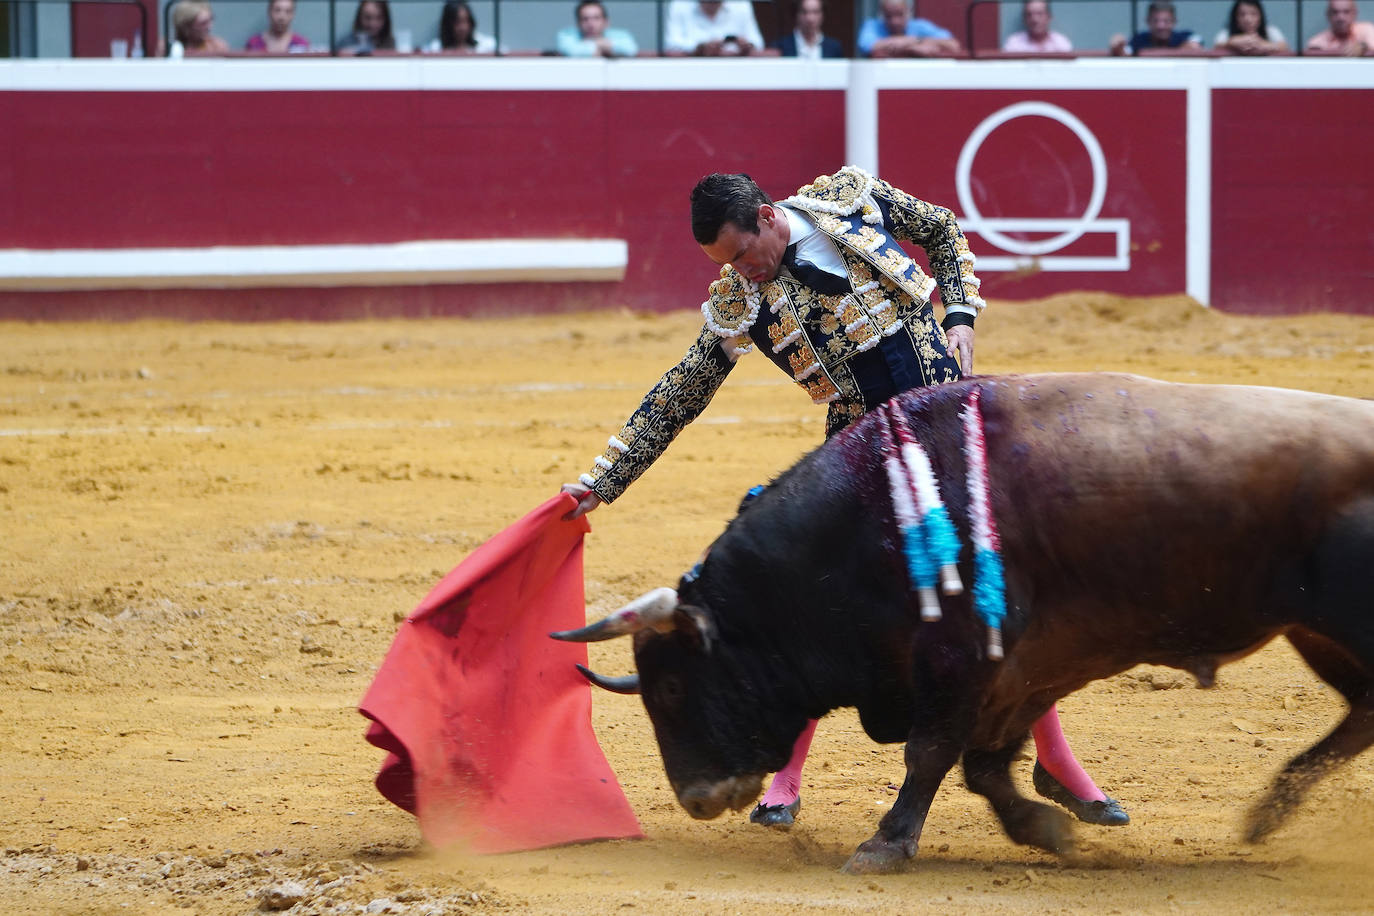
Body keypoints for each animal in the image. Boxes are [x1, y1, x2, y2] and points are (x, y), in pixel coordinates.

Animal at [552, 373, 1374, 873]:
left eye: (675, 691)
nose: (696, 798)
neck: (869, 523)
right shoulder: (1025, 670)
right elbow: (982, 767)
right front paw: (1049, 830)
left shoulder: (964, 665)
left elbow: (932, 754)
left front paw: (883, 846)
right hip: (1317, 633)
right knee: (1362, 713)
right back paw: (1267, 814)